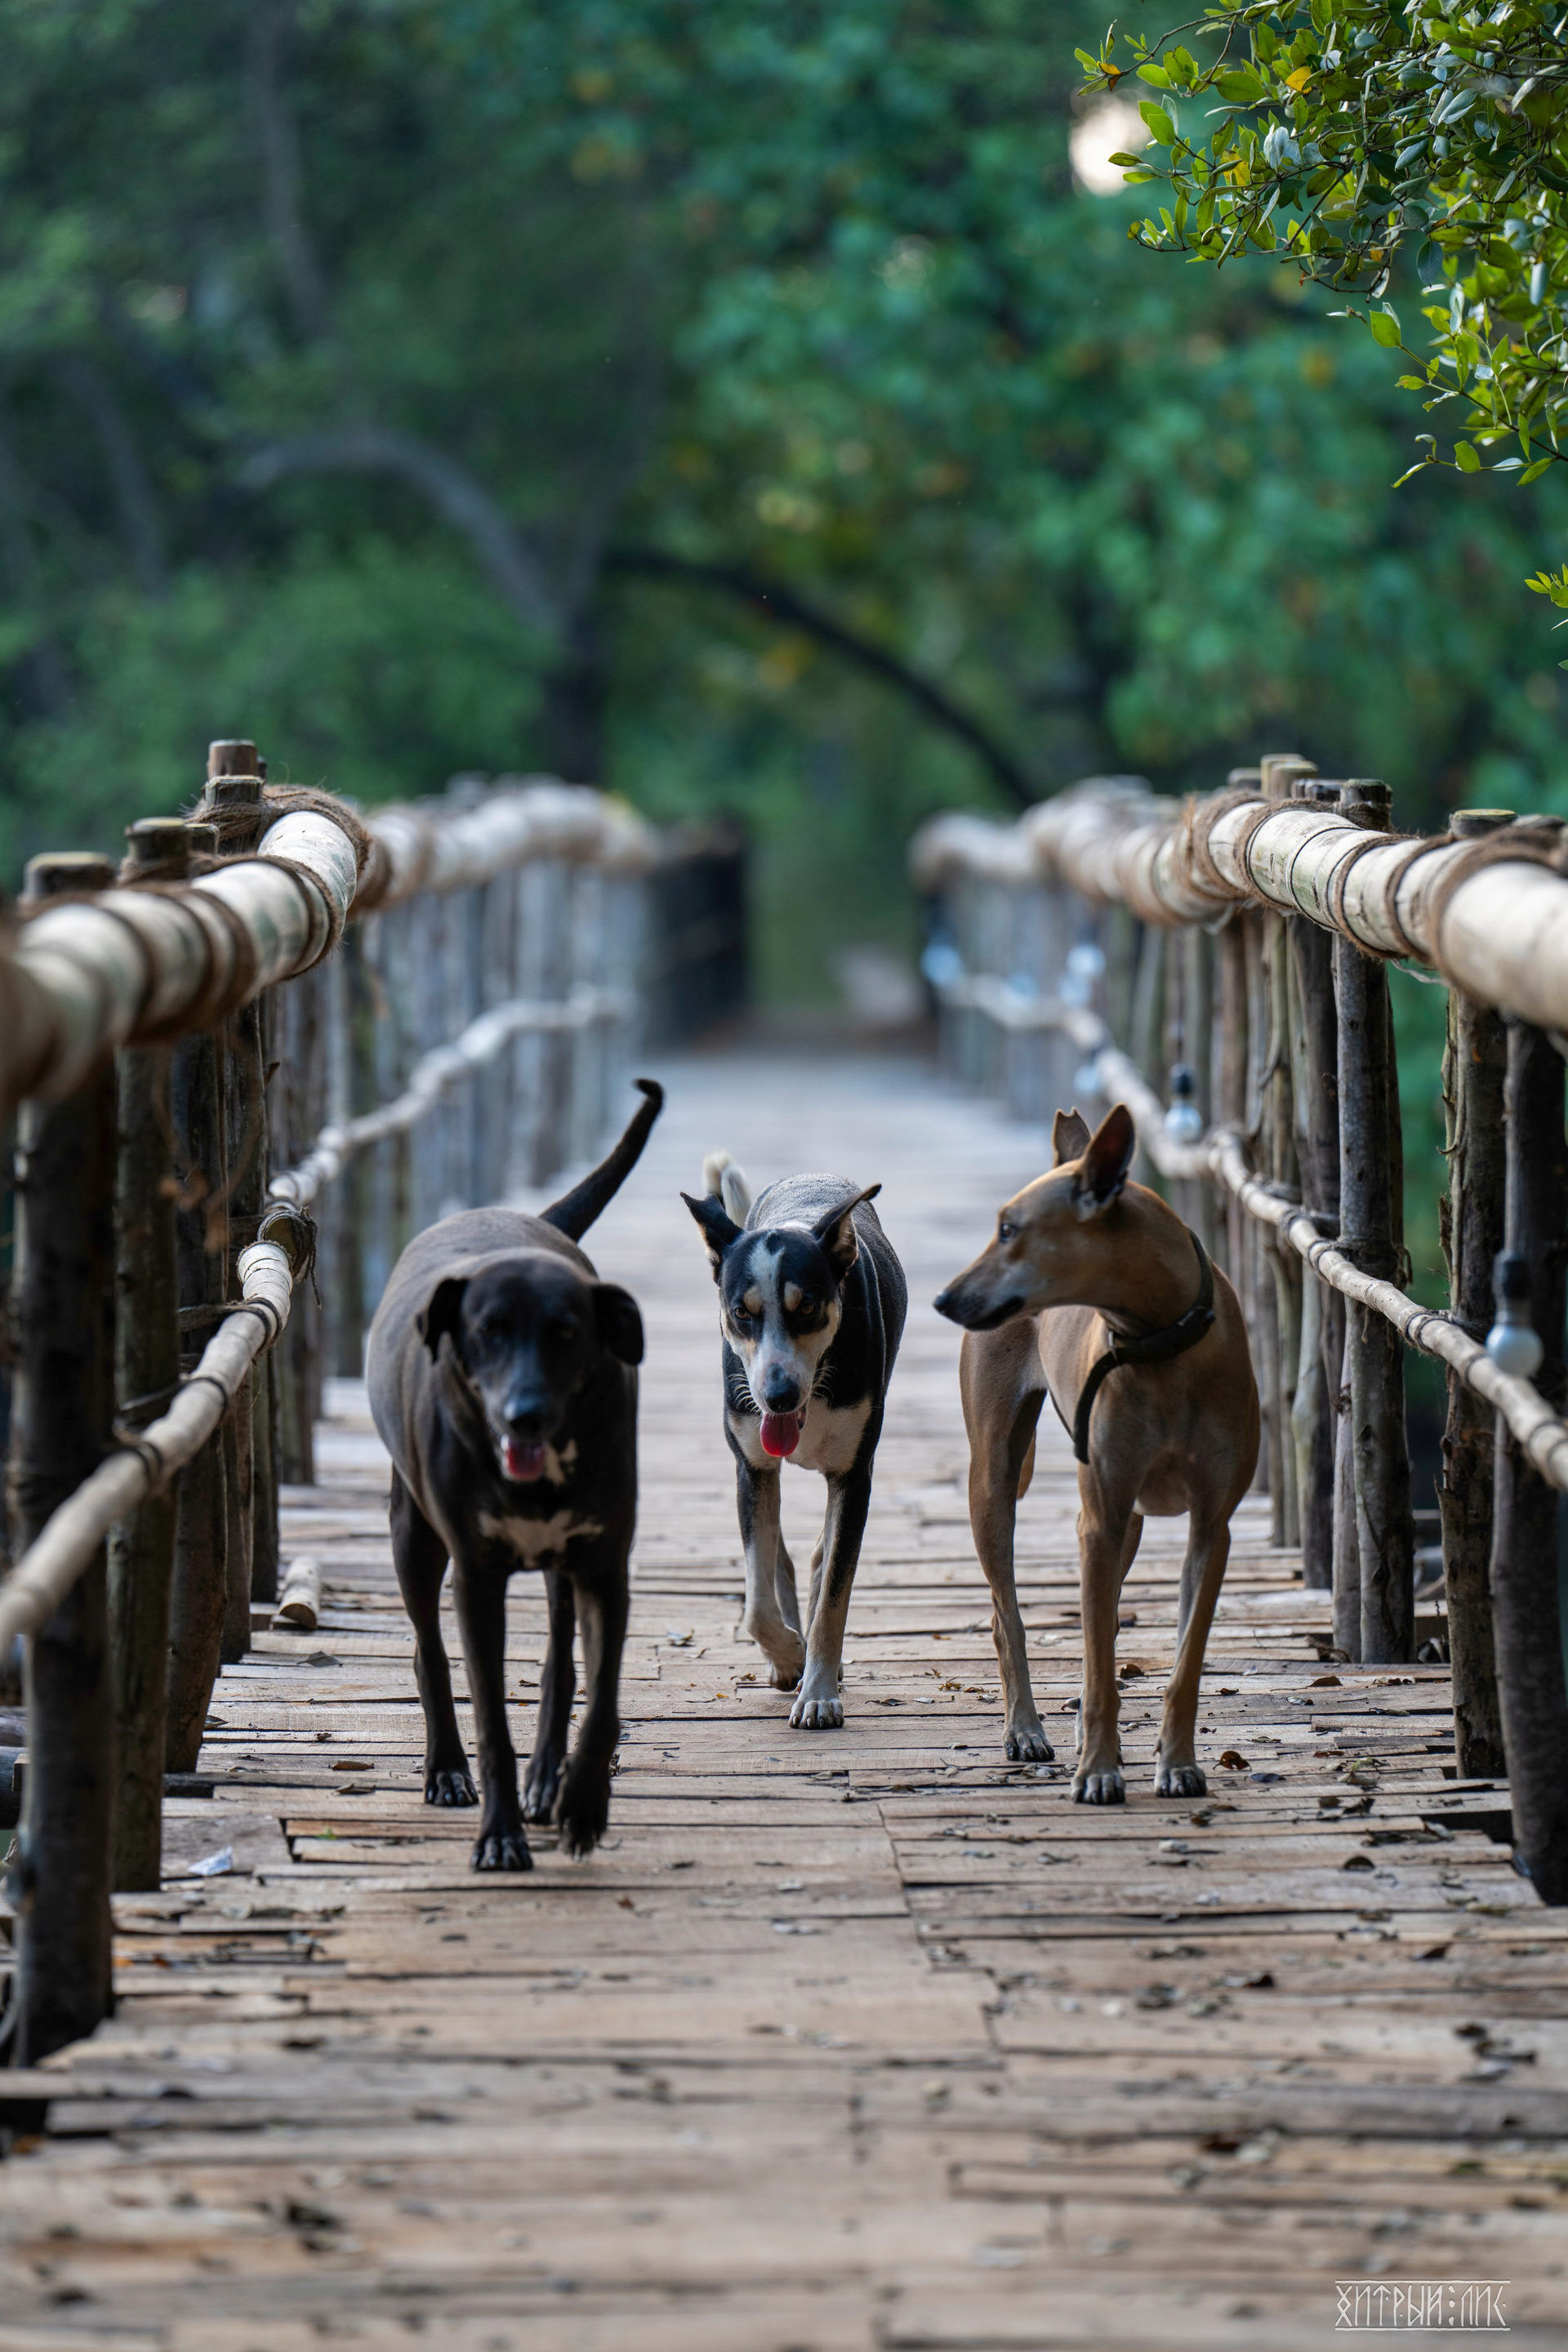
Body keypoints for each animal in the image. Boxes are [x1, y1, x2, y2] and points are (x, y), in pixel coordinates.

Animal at [365, 1079, 662, 1868]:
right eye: (487, 1332)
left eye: (566, 1333)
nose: (524, 1415)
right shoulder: (477, 1574)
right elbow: (490, 1713)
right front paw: (499, 1835)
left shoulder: (603, 1565)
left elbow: (603, 1695)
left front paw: (582, 1804)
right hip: (412, 1536)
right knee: (429, 1653)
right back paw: (446, 1771)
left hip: (563, 1566)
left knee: (561, 1660)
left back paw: (547, 1778)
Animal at [682, 1155, 906, 1729]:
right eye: (742, 1312)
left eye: (806, 1308)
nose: (779, 1396)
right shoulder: (753, 1468)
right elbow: (756, 1600)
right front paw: (787, 1654)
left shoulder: (854, 1477)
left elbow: (834, 1594)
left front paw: (820, 1691)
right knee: (778, 1558)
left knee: (821, 1558)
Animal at [933, 1103, 1258, 1803]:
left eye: (1009, 1229)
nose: (944, 1299)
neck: (1159, 1342)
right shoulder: (1098, 1519)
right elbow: (1098, 1659)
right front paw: (1099, 1769)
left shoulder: (1209, 1527)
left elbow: (1184, 1658)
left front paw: (1177, 1761)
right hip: (995, 1482)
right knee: (1008, 1615)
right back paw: (1025, 1729)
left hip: (1125, 1520)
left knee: (1102, 1622)